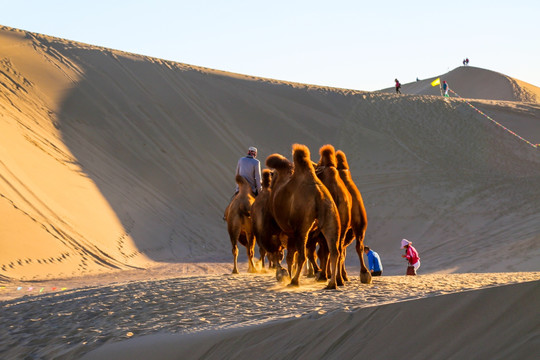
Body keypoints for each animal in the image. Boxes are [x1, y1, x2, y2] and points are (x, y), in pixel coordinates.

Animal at [264, 143, 340, 290]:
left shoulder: (285, 229)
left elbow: (287, 255)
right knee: (333, 250)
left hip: (302, 226)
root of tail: (319, 196)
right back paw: (331, 283)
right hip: (330, 215)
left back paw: (294, 281)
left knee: (302, 255)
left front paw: (285, 274)